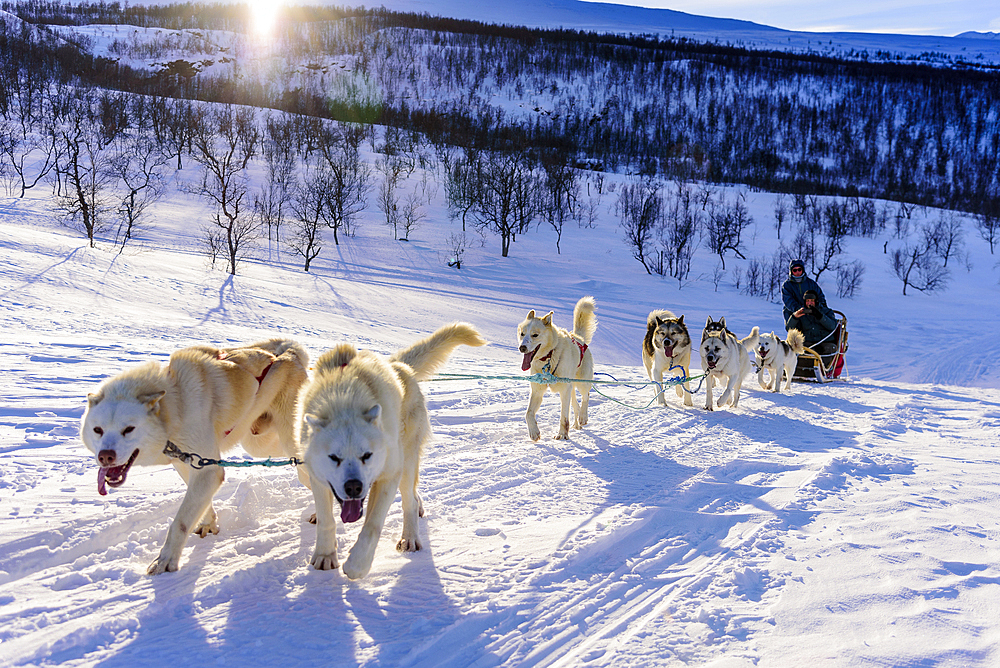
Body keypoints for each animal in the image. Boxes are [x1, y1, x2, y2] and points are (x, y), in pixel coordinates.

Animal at [81, 340, 308, 576]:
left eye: (129, 429)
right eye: (98, 430)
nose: (105, 456)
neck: (173, 405)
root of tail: (287, 351)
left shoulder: (208, 469)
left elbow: (179, 522)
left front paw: (165, 560)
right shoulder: (188, 463)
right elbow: (201, 504)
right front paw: (209, 523)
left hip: (285, 439)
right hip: (258, 443)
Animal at [296, 324, 484, 580]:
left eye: (367, 455)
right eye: (334, 458)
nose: (353, 487)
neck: (344, 397)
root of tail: (399, 366)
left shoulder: (388, 476)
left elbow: (372, 526)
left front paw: (357, 565)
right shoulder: (318, 478)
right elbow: (327, 520)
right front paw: (325, 555)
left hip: (406, 462)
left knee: (410, 501)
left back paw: (410, 537)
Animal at [516, 294, 592, 440]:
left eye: (535, 335)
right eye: (522, 334)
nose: (522, 348)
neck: (549, 358)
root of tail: (579, 338)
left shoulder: (564, 390)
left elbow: (563, 417)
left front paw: (562, 434)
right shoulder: (537, 390)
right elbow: (528, 413)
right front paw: (534, 431)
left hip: (581, 382)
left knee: (586, 396)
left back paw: (583, 417)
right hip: (571, 387)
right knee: (575, 404)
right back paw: (577, 423)